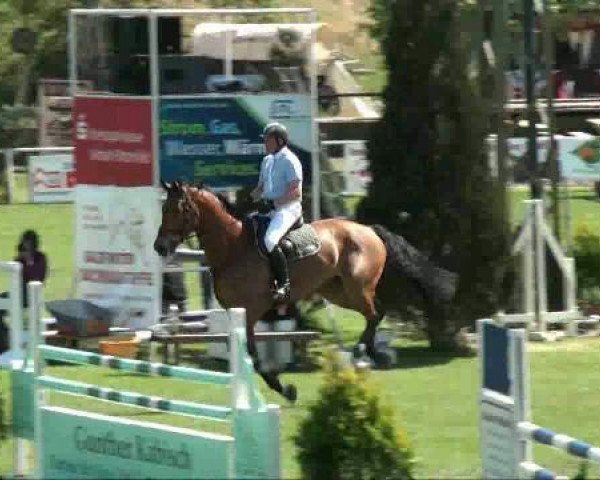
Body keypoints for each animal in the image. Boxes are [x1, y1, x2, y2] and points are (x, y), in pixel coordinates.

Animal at [152, 182, 458, 404]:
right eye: (163, 208)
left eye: (177, 210)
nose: (160, 247)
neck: (232, 248)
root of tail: (369, 229)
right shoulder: (235, 313)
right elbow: (243, 350)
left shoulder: (251, 310)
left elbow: (253, 354)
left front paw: (284, 389)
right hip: (338, 292)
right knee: (377, 313)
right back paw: (370, 354)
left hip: (356, 288)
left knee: (374, 314)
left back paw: (359, 354)